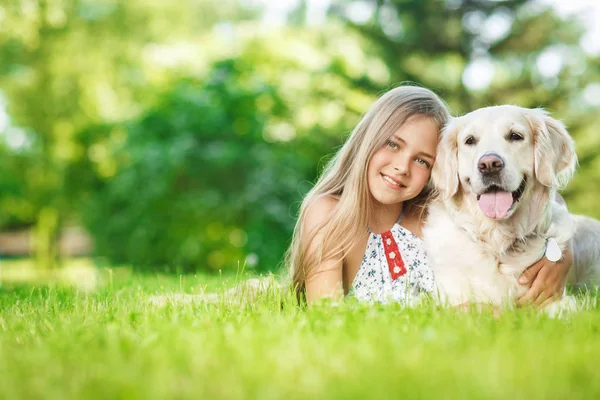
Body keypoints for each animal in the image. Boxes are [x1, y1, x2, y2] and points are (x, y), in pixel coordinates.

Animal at [422, 104, 600, 312]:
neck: (497, 241)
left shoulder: (557, 300)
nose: (489, 165)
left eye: (515, 136)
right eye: (470, 140)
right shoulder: (451, 299)